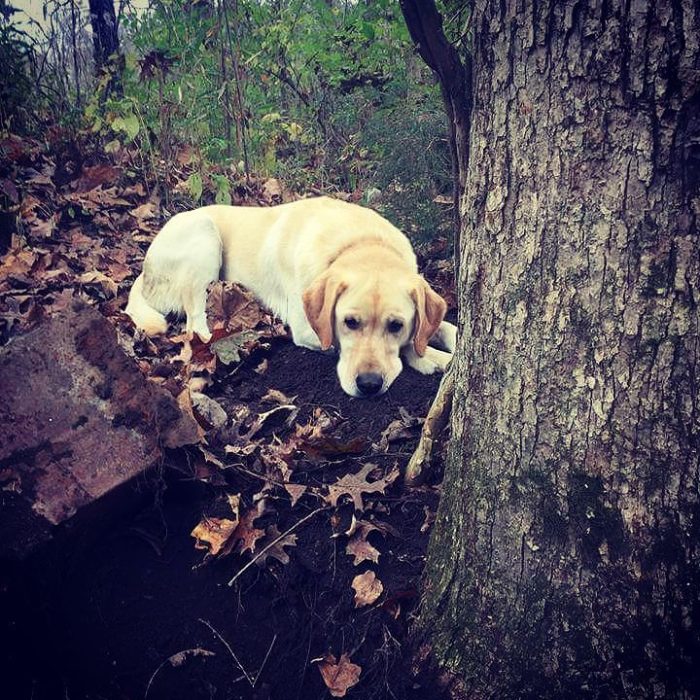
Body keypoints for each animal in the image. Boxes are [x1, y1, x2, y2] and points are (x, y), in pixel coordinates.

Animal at [125, 197, 454, 396]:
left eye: (396, 325)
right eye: (349, 322)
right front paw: (433, 358)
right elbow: (409, 345)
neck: (361, 243)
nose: (369, 385)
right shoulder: (308, 329)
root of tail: (144, 269)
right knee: (195, 323)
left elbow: (444, 327)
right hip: (204, 235)